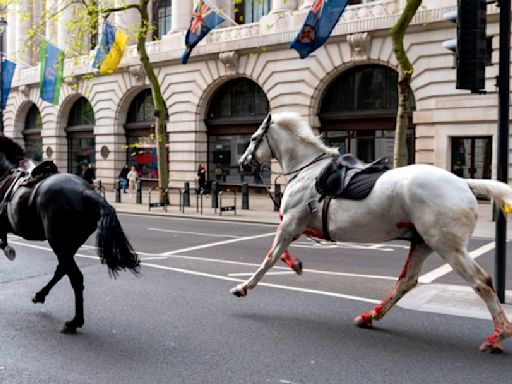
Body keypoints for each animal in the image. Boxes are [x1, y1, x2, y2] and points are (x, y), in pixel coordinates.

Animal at [0, 136, 140, 332]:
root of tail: (85, 191)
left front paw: (9, 251)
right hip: (69, 244)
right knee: (63, 270)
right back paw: (41, 296)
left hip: (59, 242)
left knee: (75, 276)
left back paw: (74, 321)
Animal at [231, 110, 512, 352]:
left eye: (253, 138)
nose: (242, 163)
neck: (307, 170)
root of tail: (463, 183)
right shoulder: (295, 224)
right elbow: (280, 253)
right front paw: (296, 264)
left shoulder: (291, 222)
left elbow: (270, 257)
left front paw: (244, 287)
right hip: (423, 243)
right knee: (406, 281)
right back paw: (370, 316)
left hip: (447, 246)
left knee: (482, 282)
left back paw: (498, 336)